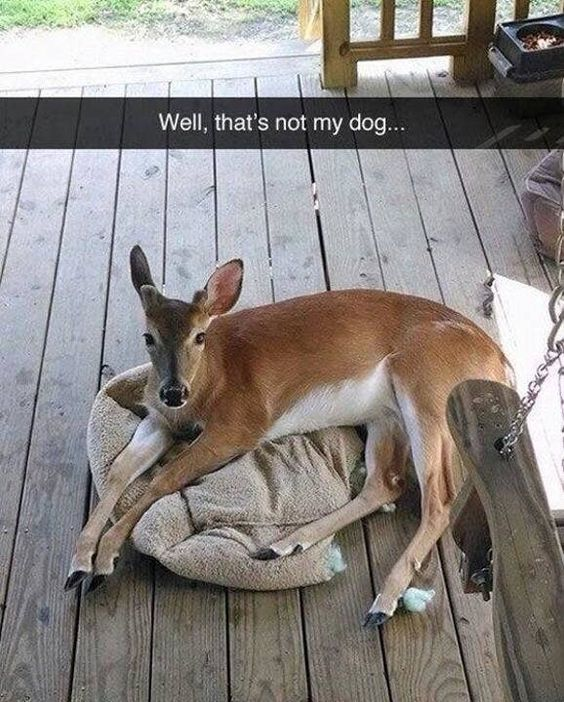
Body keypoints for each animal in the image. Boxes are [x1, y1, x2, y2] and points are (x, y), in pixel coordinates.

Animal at [65, 245, 509, 627]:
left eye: (199, 335)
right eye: (148, 337)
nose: (173, 391)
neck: (212, 380)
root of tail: (499, 361)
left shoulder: (240, 425)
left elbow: (163, 478)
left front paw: (104, 558)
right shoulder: (160, 420)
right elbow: (120, 469)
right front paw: (80, 563)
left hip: (426, 388)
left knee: (439, 499)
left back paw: (382, 603)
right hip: (385, 414)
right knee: (386, 483)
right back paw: (284, 544)